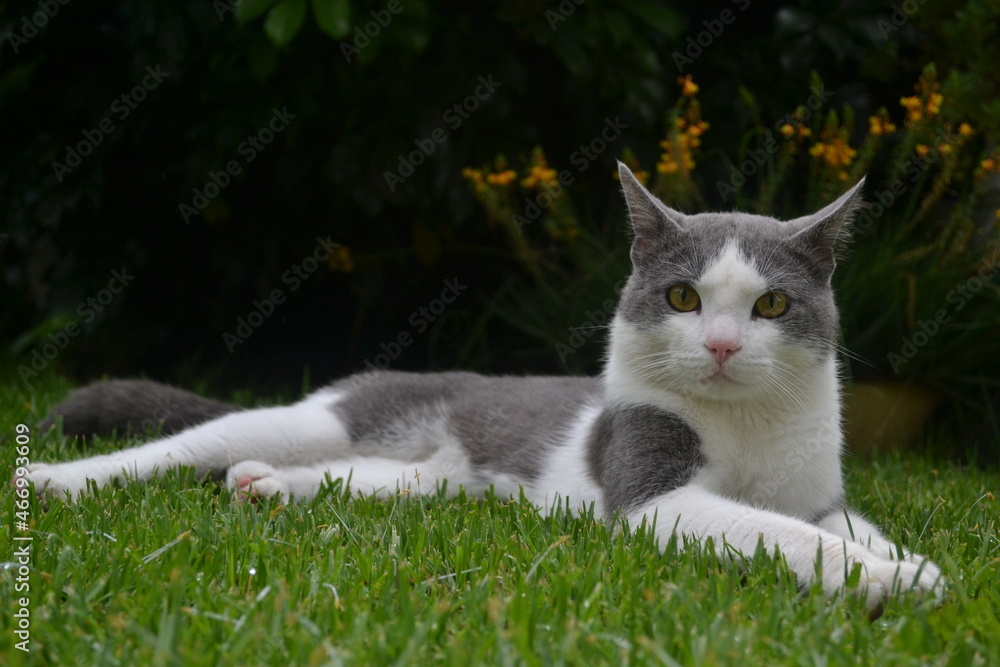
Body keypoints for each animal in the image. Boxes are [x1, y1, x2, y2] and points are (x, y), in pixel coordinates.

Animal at [25, 164, 944, 612]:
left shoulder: (820, 489)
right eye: (683, 297)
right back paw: (54, 479)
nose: (720, 344)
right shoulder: (651, 493)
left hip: (420, 483)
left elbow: (841, 522)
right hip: (320, 418)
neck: (745, 423)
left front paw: (908, 561)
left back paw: (263, 489)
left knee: (350, 480)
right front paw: (881, 581)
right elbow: (780, 532)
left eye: (772, 304)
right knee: (187, 444)